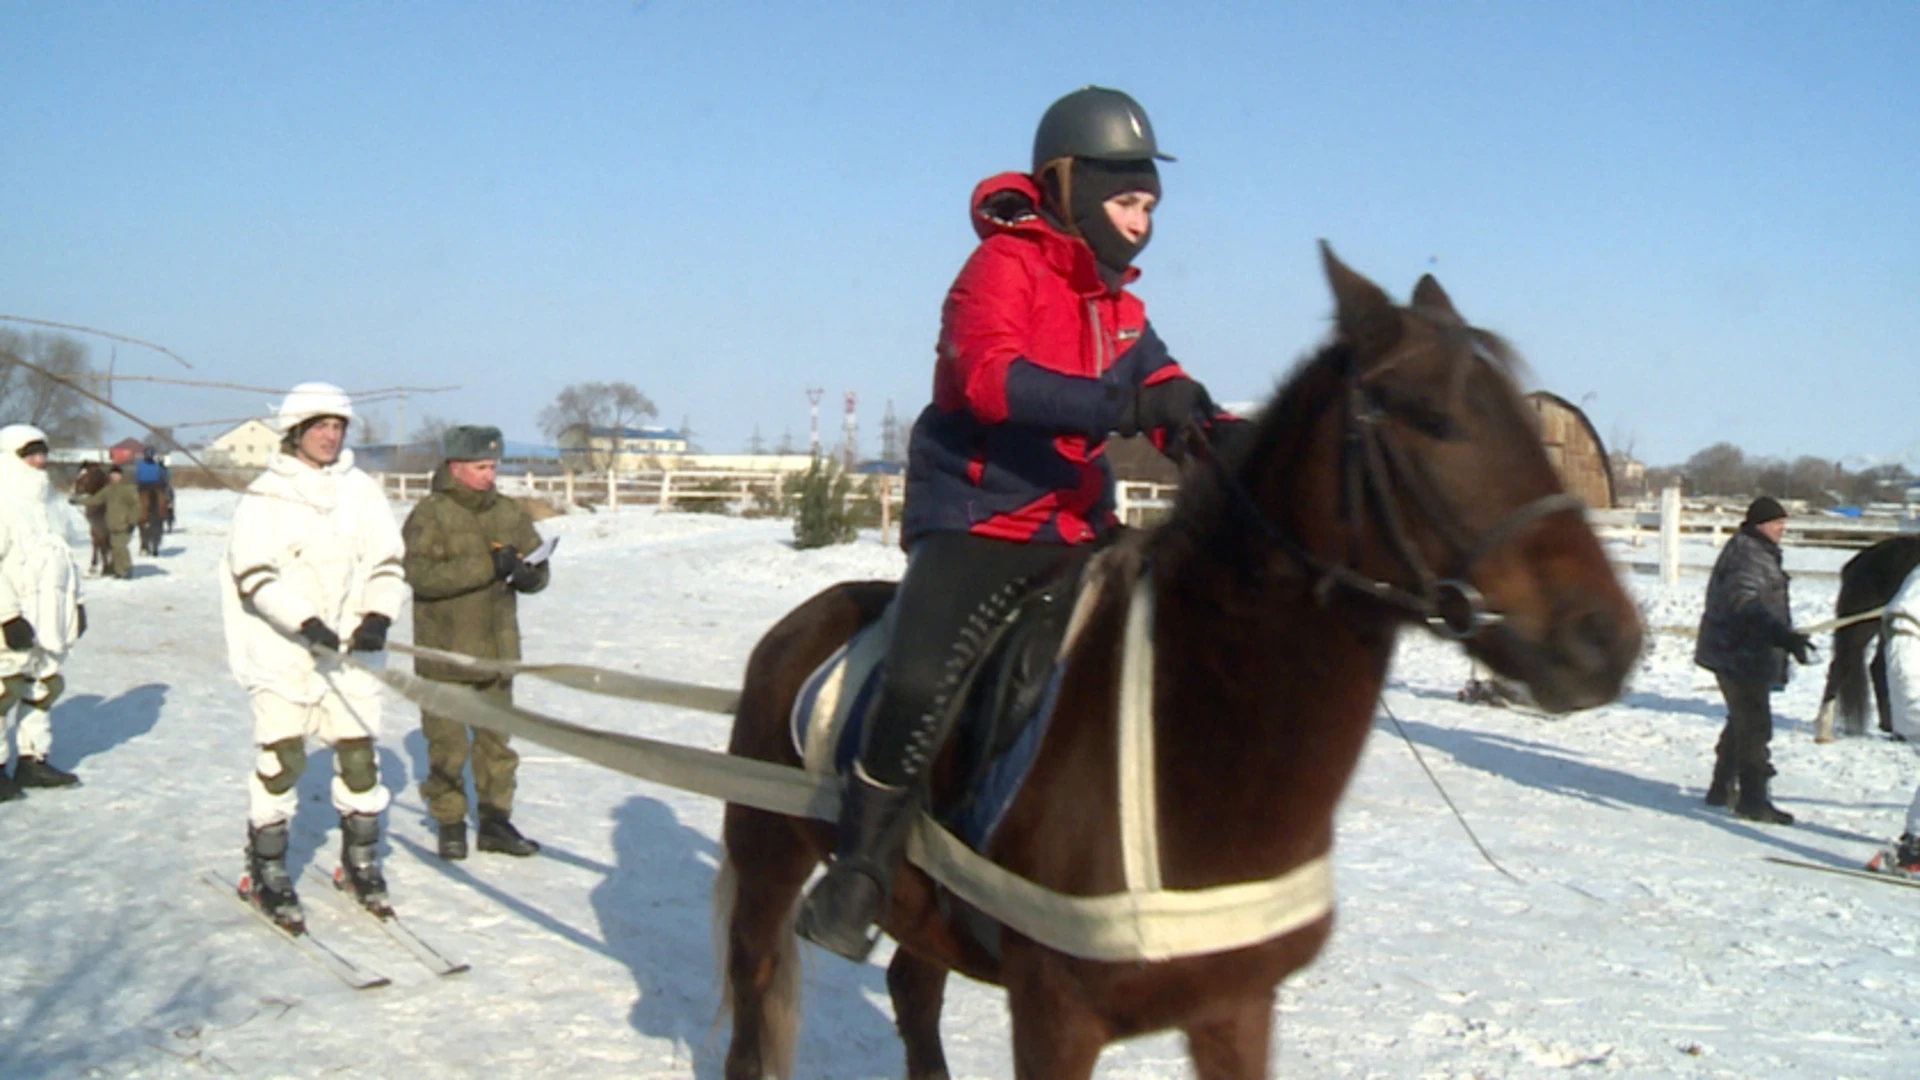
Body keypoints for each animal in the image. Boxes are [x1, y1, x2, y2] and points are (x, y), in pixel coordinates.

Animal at [714, 245, 1643, 1076]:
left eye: (1532, 425)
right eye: (1435, 418)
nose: (1608, 639)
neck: (1193, 740)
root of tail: (796, 627)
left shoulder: (1236, 1008)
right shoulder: (1055, 1017)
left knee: (914, 994)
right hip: (767, 868)